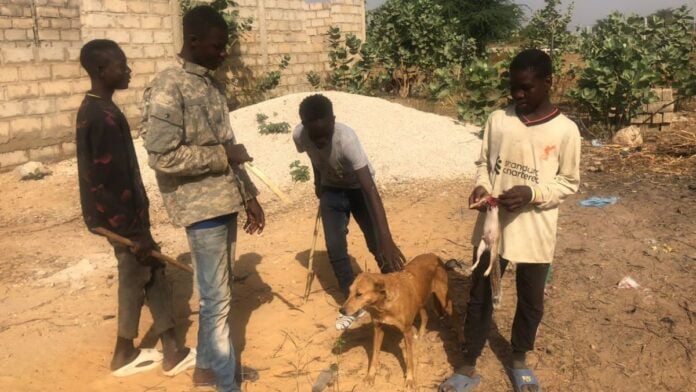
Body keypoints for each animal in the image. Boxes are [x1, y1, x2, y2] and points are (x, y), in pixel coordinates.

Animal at [338, 253, 460, 390]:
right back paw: (421, 334)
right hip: (420, 299)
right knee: (425, 316)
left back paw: (461, 341)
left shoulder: (406, 331)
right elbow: (374, 355)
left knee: (456, 316)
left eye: (359, 294)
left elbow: (410, 359)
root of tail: (434, 255)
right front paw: (370, 376)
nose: (341, 310)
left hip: (443, 298)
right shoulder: (378, 329)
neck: (383, 304)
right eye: (349, 292)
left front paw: (410, 379)